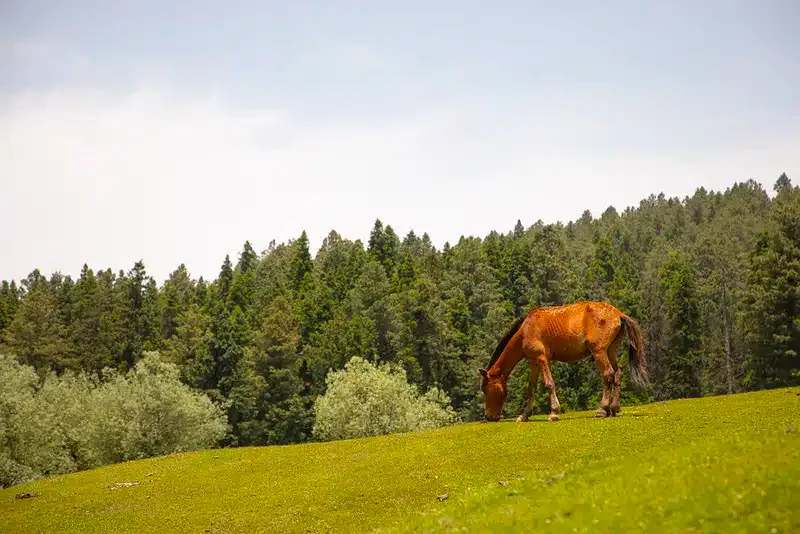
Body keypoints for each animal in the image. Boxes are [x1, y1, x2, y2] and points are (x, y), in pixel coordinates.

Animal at [479, 301, 647, 422]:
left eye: (485, 389)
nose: (489, 416)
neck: (525, 330)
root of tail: (618, 314)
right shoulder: (534, 362)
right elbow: (530, 388)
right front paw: (524, 415)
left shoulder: (541, 358)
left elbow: (549, 384)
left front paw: (554, 412)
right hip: (610, 352)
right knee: (617, 374)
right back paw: (614, 407)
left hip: (599, 351)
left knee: (608, 374)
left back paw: (602, 408)